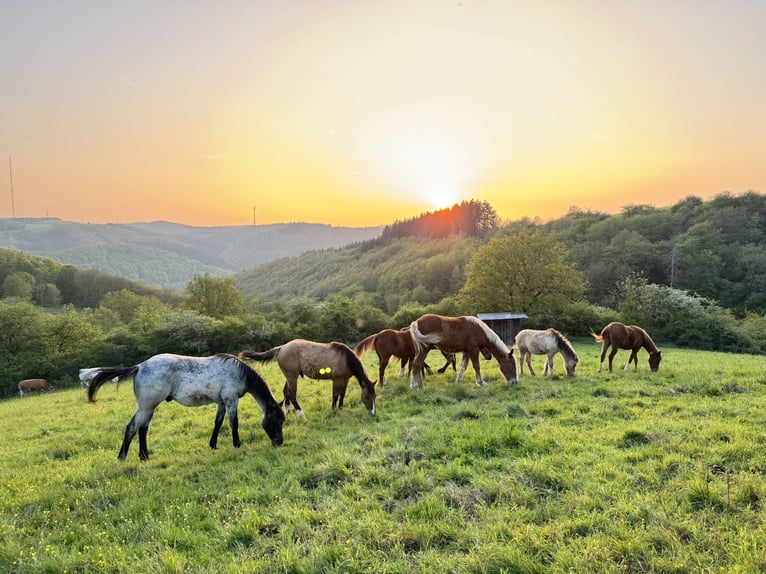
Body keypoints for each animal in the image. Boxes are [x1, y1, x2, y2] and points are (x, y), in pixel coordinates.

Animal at [88, 354, 284, 466]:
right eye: (275, 421)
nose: (279, 442)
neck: (238, 372)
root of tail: (139, 366)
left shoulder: (221, 402)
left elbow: (218, 423)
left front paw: (213, 445)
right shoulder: (231, 401)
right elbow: (233, 423)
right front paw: (237, 445)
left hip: (149, 407)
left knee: (143, 429)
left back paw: (144, 457)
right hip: (147, 406)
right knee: (132, 427)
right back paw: (122, 458)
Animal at [237, 342, 376, 418]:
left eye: (375, 396)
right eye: (367, 397)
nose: (373, 413)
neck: (346, 358)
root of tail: (281, 348)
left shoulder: (345, 380)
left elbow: (342, 395)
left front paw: (341, 408)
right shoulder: (337, 380)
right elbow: (335, 396)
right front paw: (333, 409)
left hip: (290, 376)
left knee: (286, 392)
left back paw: (288, 412)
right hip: (292, 377)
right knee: (292, 395)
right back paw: (301, 414)